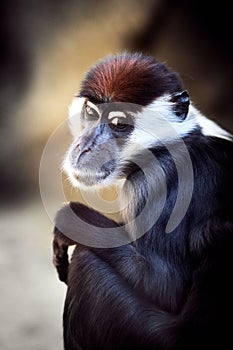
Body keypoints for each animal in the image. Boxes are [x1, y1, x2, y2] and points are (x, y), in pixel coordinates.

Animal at [52, 52, 233, 350]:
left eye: (118, 124)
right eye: (91, 113)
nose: (84, 147)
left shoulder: (154, 181)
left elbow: (160, 284)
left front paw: (71, 221)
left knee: (86, 262)